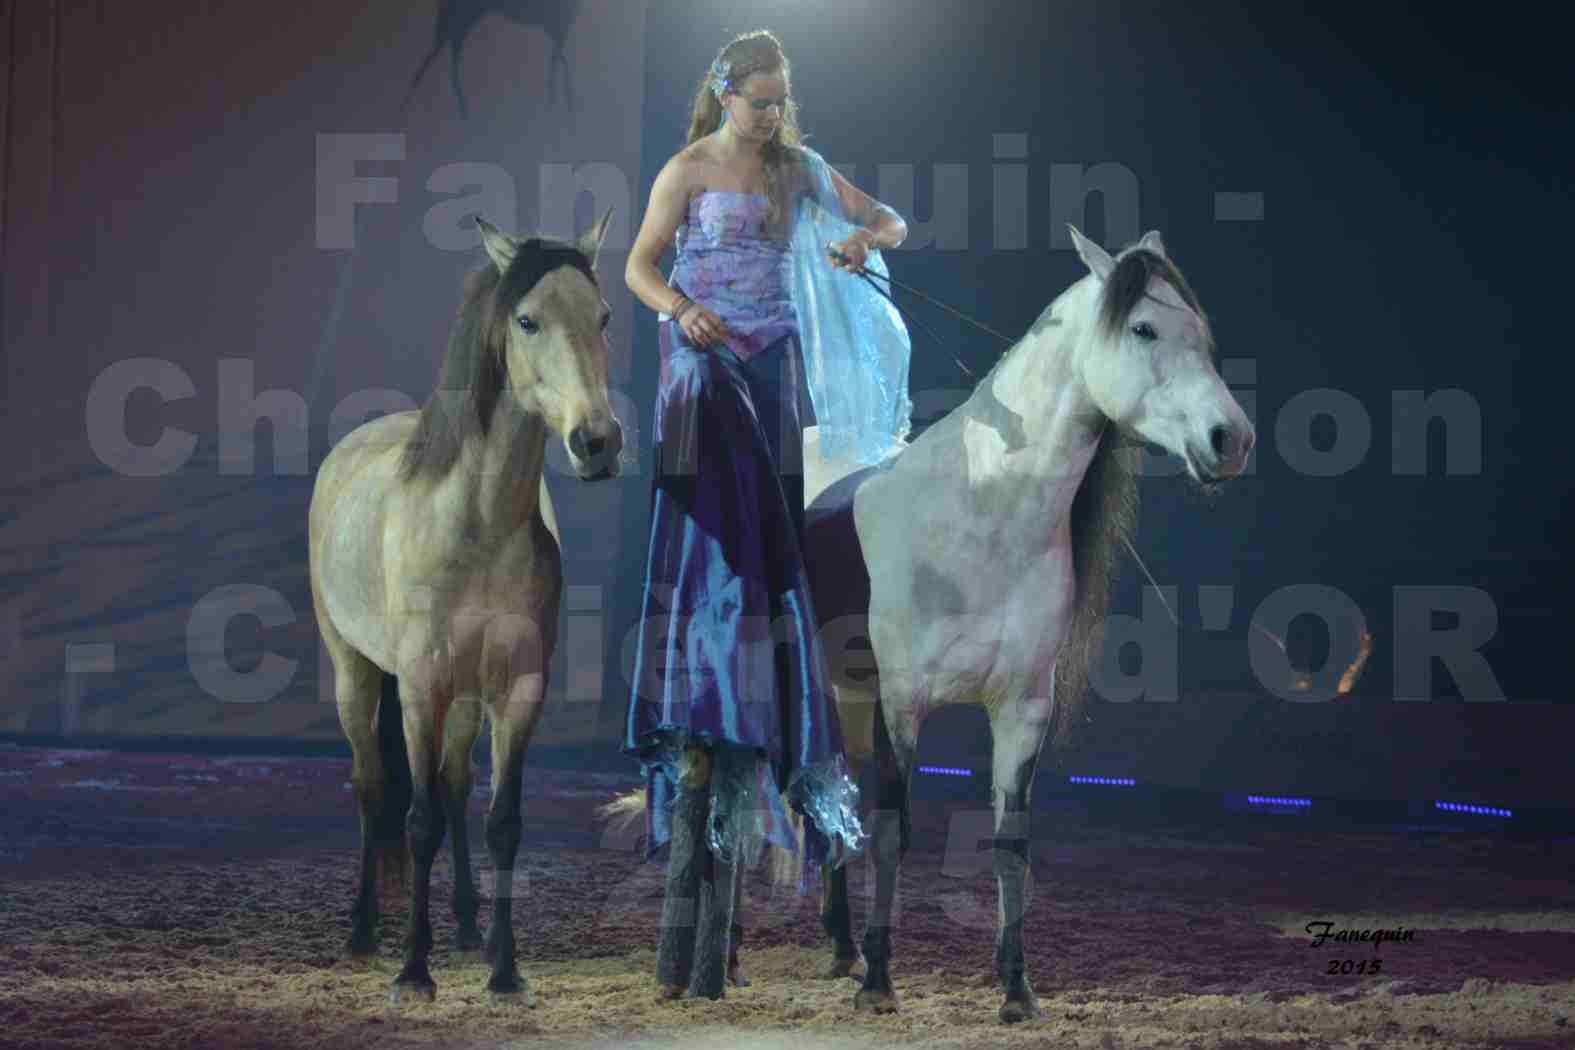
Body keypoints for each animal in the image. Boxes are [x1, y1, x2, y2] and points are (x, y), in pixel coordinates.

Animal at [307, 209, 620, 1007]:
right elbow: (416, 823)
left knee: (453, 787)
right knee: (372, 788)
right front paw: (412, 973)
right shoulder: (421, 689)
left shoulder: (515, 692)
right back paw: (363, 933)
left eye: (603, 316)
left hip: (468, 701)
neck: (475, 526)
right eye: (527, 319)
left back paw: (468, 929)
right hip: (356, 675)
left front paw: (504, 971)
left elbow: (500, 821)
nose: (597, 442)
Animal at [800, 226, 1253, 1020]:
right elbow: (891, 832)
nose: (1230, 438)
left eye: (1201, 336)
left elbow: (1011, 845)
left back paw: (840, 945)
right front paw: (880, 983)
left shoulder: (1020, 709)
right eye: (1143, 328)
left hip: (844, 692)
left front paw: (1016, 988)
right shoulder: (901, 704)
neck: (979, 511)